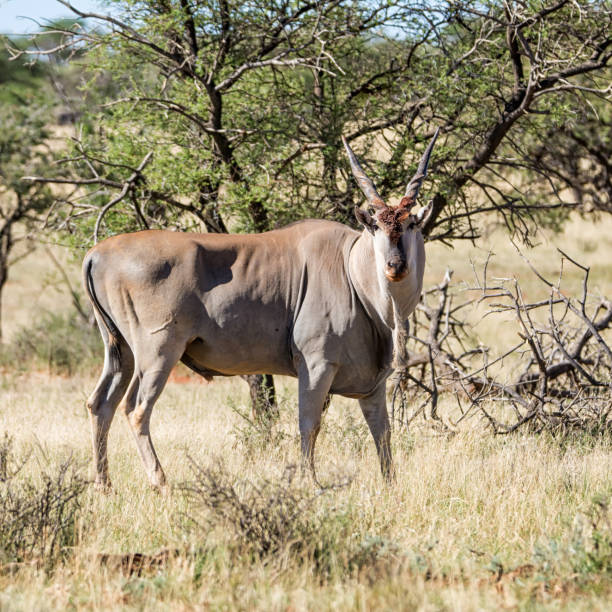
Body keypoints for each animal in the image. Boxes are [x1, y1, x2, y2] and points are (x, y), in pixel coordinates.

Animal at [83, 129, 438, 488]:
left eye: (410, 225)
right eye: (375, 226)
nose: (395, 266)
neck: (351, 269)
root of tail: (97, 253)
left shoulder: (373, 387)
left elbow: (383, 434)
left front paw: (390, 486)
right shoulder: (316, 366)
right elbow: (309, 426)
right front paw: (310, 483)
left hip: (120, 351)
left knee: (101, 403)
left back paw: (103, 484)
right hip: (157, 352)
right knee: (135, 409)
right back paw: (161, 483)